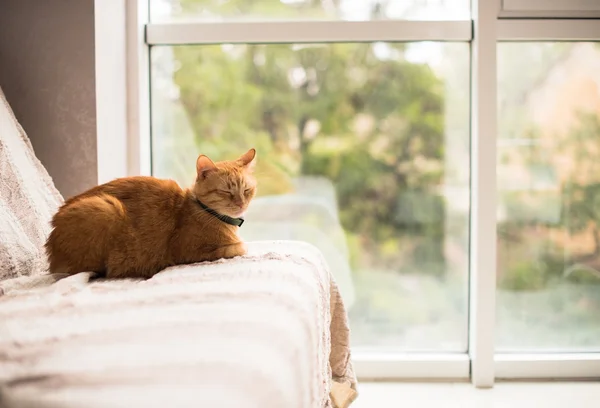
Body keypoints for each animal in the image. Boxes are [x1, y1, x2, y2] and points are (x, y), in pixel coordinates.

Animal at [44, 148, 255, 278]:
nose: (241, 203)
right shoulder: (189, 251)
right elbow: (240, 247)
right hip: (107, 207)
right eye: (226, 192)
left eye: (246, 190)